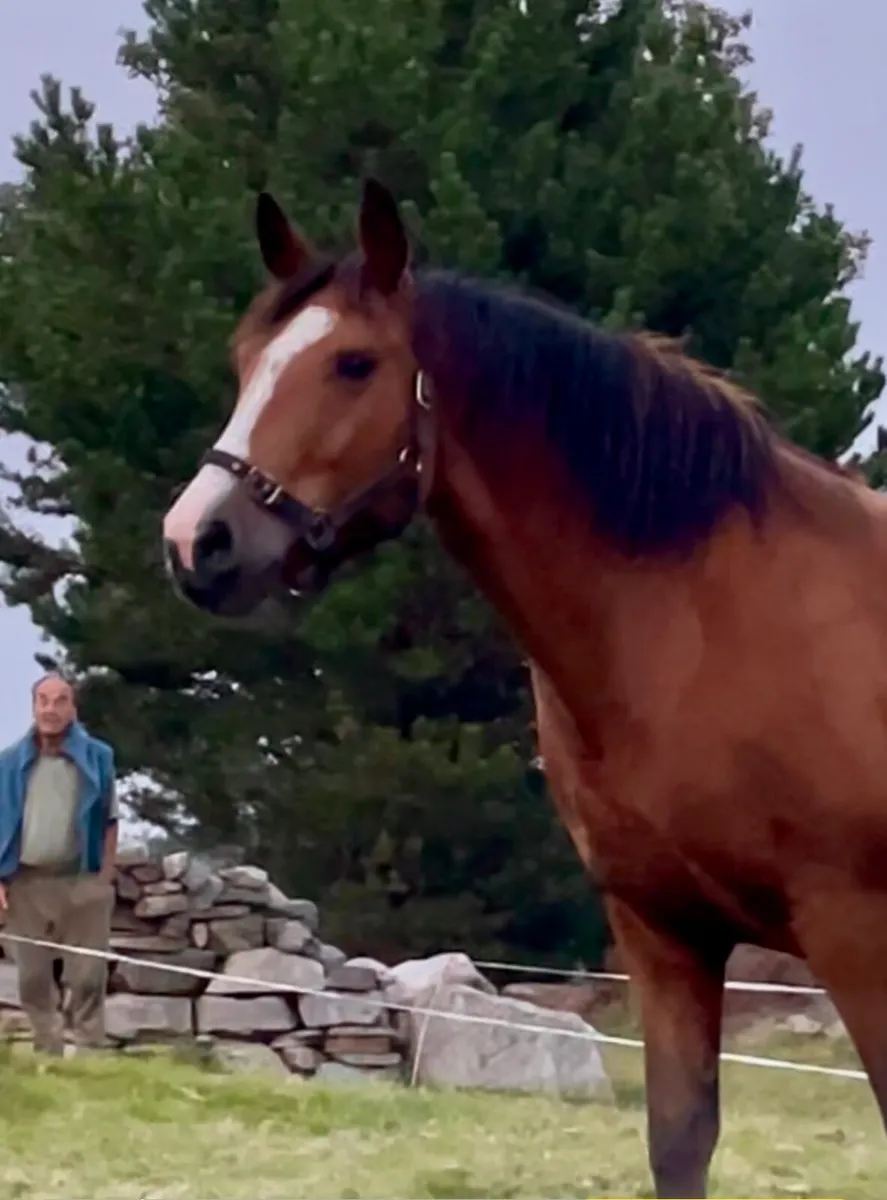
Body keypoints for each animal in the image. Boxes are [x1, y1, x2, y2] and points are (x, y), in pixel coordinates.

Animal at [163, 179, 887, 1198]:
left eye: (353, 363)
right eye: (244, 360)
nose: (198, 542)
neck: (708, 619)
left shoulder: (858, 935)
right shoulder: (662, 934)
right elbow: (680, 1142)